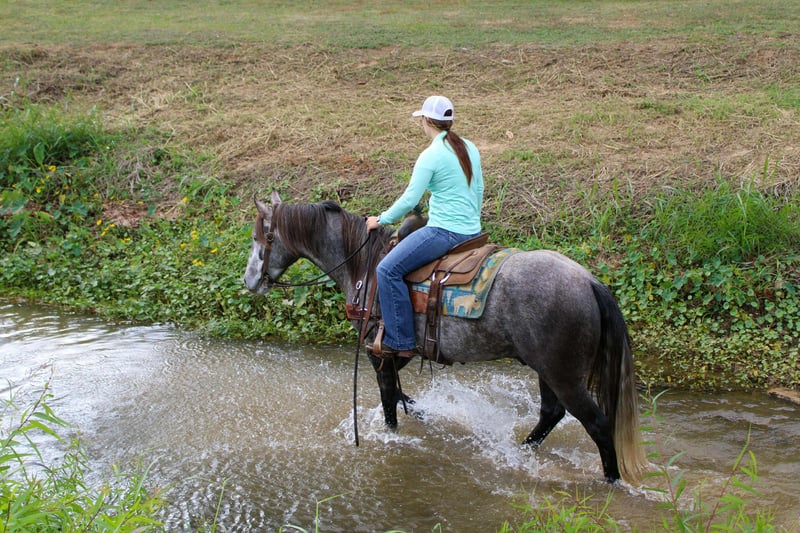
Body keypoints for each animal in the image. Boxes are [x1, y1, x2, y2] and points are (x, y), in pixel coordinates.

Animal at [243, 191, 647, 484]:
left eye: (261, 237)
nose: (249, 281)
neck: (365, 268)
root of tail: (590, 282)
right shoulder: (400, 351)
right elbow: (400, 392)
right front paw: (423, 411)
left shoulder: (379, 352)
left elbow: (388, 399)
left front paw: (394, 435)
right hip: (547, 370)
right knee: (551, 413)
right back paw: (520, 452)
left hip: (563, 374)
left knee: (596, 424)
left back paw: (611, 481)